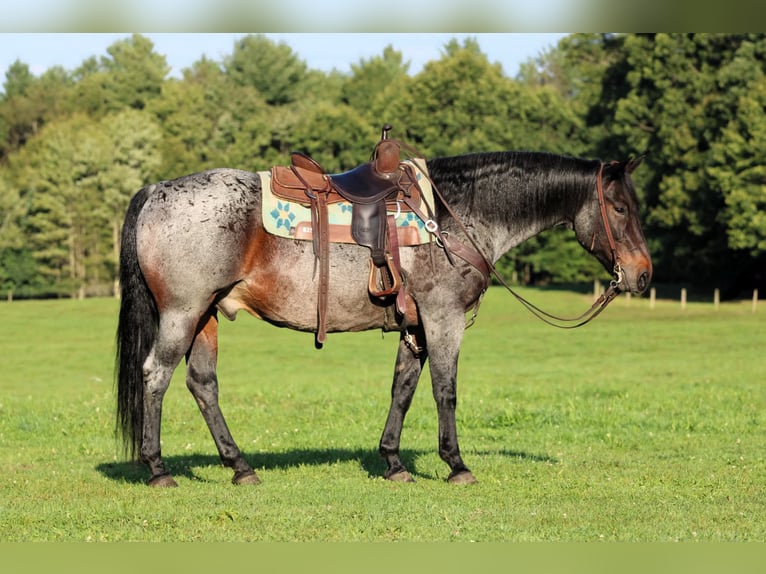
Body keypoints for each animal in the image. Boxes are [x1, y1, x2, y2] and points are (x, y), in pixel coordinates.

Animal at [115, 147, 652, 487]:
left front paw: (393, 462)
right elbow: (445, 390)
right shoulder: (442, 319)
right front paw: (456, 464)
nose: (643, 275)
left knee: (202, 384)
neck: (452, 218)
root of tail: (156, 190)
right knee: (156, 375)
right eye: (620, 208)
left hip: (206, 314)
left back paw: (240, 466)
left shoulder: (414, 325)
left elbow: (403, 388)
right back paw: (158, 469)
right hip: (183, 312)